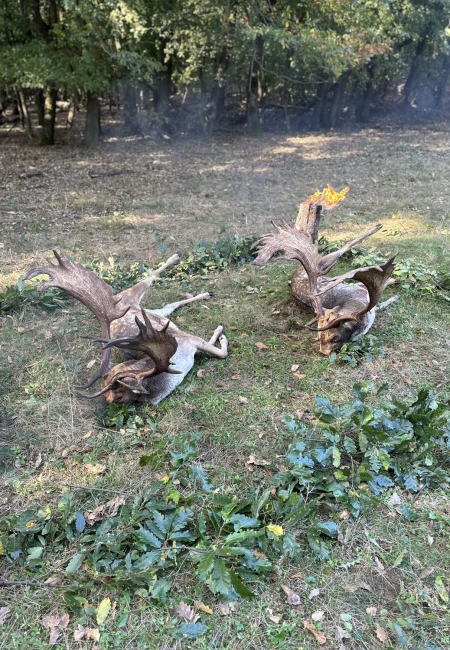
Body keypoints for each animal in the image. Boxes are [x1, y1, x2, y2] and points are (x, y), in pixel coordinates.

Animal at [24, 251, 228, 404]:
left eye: (118, 397)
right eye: (107, 398)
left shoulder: (187, 341)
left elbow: (221, 352)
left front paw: (221, 334)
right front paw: (219, 333)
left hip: (130, 296)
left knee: (148, 279)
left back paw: (177, 256)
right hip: (154, 311)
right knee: (169, 305)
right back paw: (206, 293)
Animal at [252, 186, 399, 355]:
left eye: (334, 337)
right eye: (319, 336)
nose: (323, 353)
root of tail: (297, 271)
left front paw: (394, 291)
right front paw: (394, 292)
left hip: (323, 267)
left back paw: (378, 227)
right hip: (323, 266)